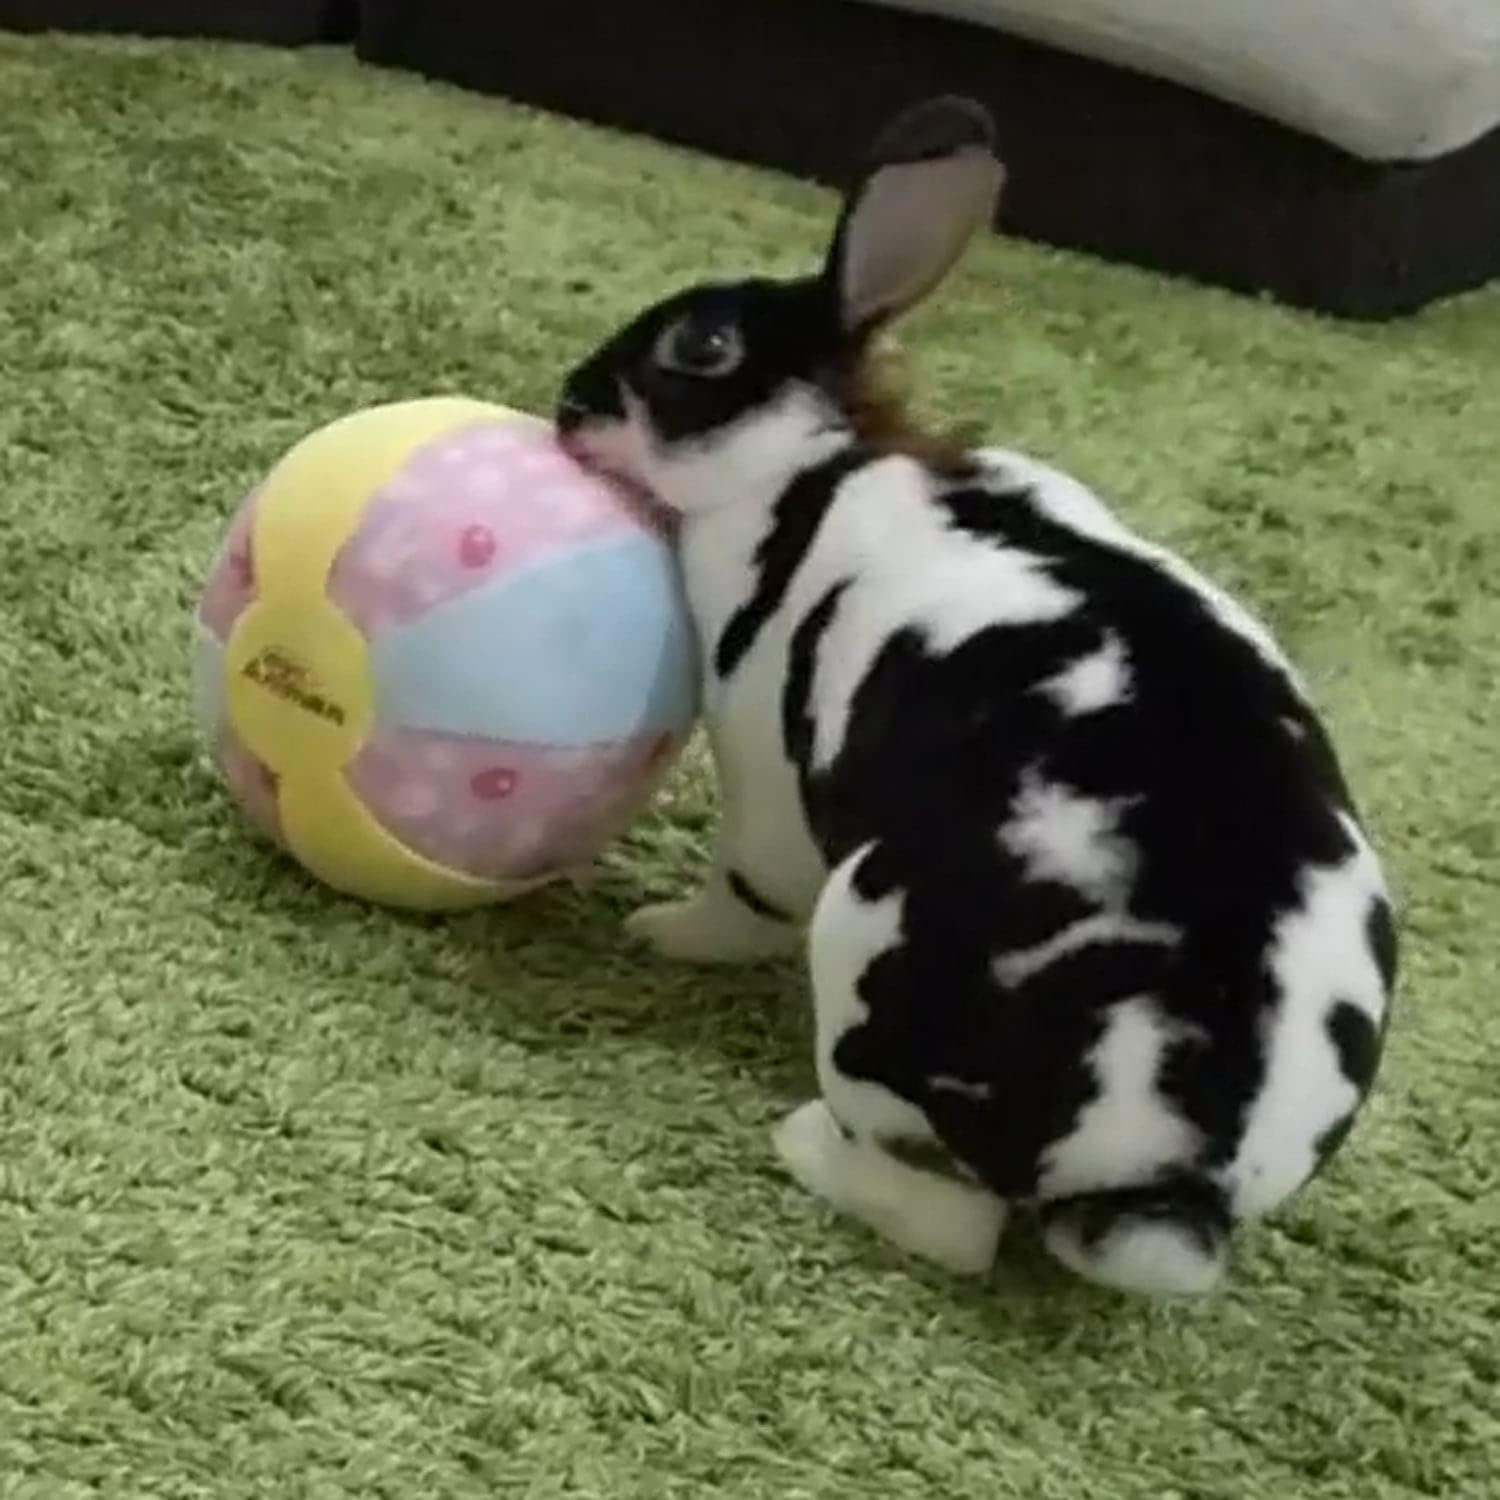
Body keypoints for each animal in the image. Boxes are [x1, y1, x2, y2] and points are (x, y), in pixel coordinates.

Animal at [555, 96, 1397, 1297]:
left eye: (701, 346)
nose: (569, 403)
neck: (818, 462)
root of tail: (1162, 1173)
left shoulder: (763, 761)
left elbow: (743, 888)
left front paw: (666, 931)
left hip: (864, 946)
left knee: (952, 1225)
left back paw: (799, 1143)